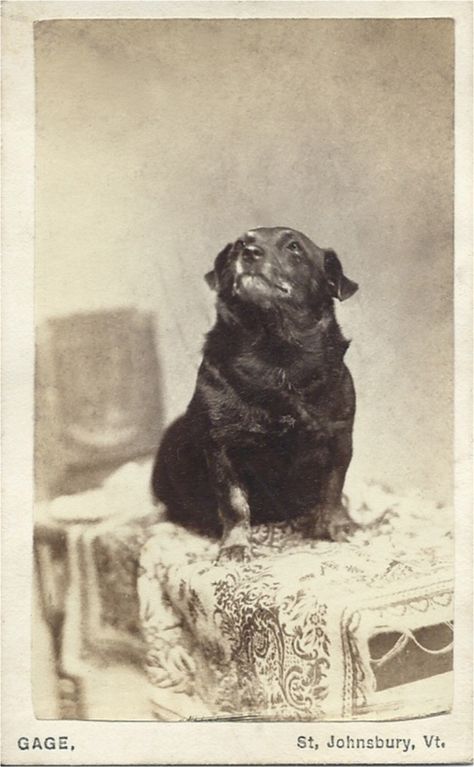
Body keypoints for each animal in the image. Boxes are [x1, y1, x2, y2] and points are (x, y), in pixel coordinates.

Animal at [153, 225, 360, 560]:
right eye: (240, 244)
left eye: (294, 247)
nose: (249, 252)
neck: (276, 354)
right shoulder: (222, 449)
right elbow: (234, 503)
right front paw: (236, 544)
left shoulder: (339, 440)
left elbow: (332, 489)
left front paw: (335, 526)